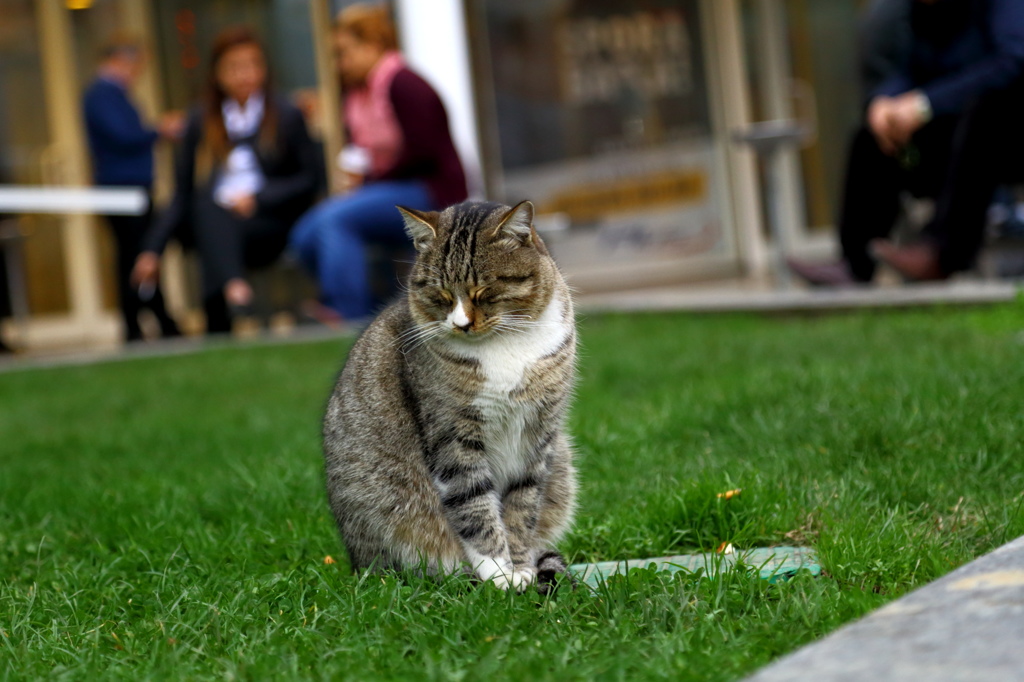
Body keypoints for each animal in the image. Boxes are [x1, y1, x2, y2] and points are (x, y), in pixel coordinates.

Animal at [319, 197, 577, 589]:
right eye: (440, 295)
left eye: (484, 292)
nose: (460, 324)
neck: (505, 345)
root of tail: (356, 563)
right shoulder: (452, 432)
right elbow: (474, 505)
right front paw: (499, 575)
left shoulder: (539, 435)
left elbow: (522, 507)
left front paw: (520, 568)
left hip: (561, 460)